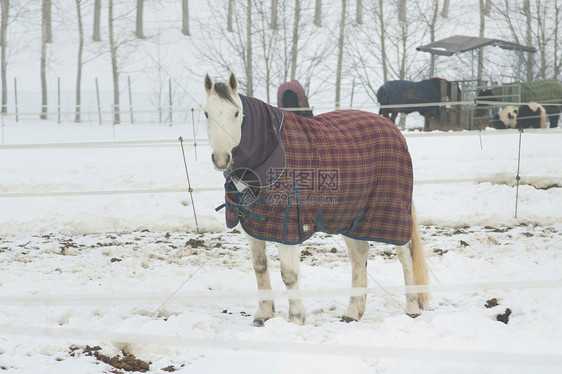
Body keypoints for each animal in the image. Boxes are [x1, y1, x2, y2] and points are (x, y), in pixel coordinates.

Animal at [206, 72, 428, 324]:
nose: (221, 158)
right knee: (359, 256)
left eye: (236, 113)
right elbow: (260, 268)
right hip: (351, 217)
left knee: (406, 256)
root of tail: (394, 129)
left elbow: (289, 274)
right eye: (206, 113)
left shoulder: (287, 229)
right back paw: (352, 313)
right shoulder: (252, 227)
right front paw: (263, 314)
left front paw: (295, 319)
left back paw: (412, 307)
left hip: (393, 213)